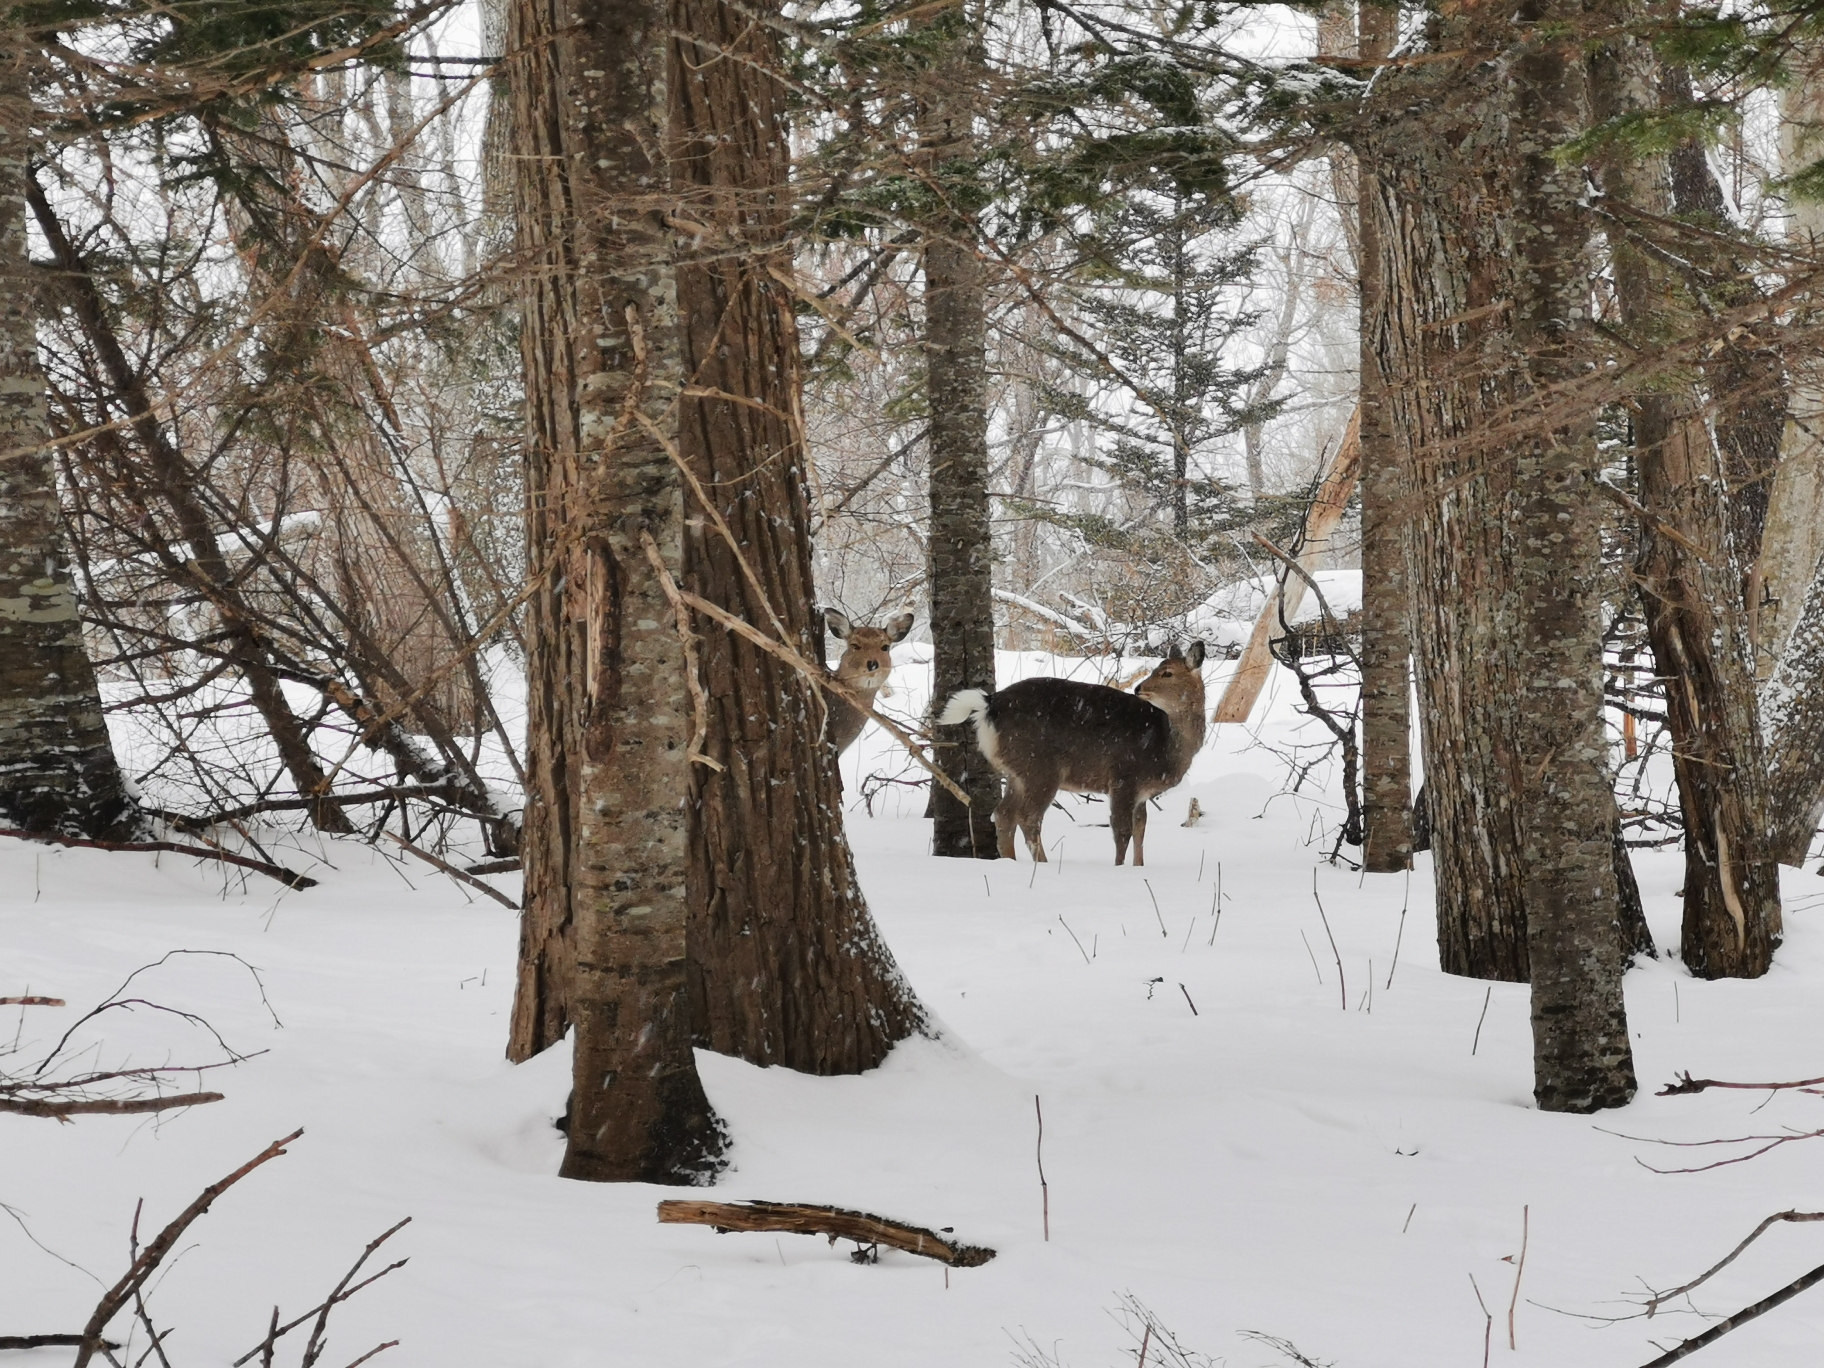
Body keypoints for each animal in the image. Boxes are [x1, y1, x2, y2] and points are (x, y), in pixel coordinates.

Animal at [941, 645, 1211, 868]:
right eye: (1159, 670)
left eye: (1167, 673)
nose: (1138, 688)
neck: (1164, 746)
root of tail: (989, 703)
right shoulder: (1123, 777)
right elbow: (1122, 830)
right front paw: (1119, 868)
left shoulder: (1141, 792)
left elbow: (1141, 829)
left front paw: (1138, 867)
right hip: (1041, 767)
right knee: (1027, 816)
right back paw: (1043, 863)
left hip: (1018, 771)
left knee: (1004, 813)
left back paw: (1010, 861)